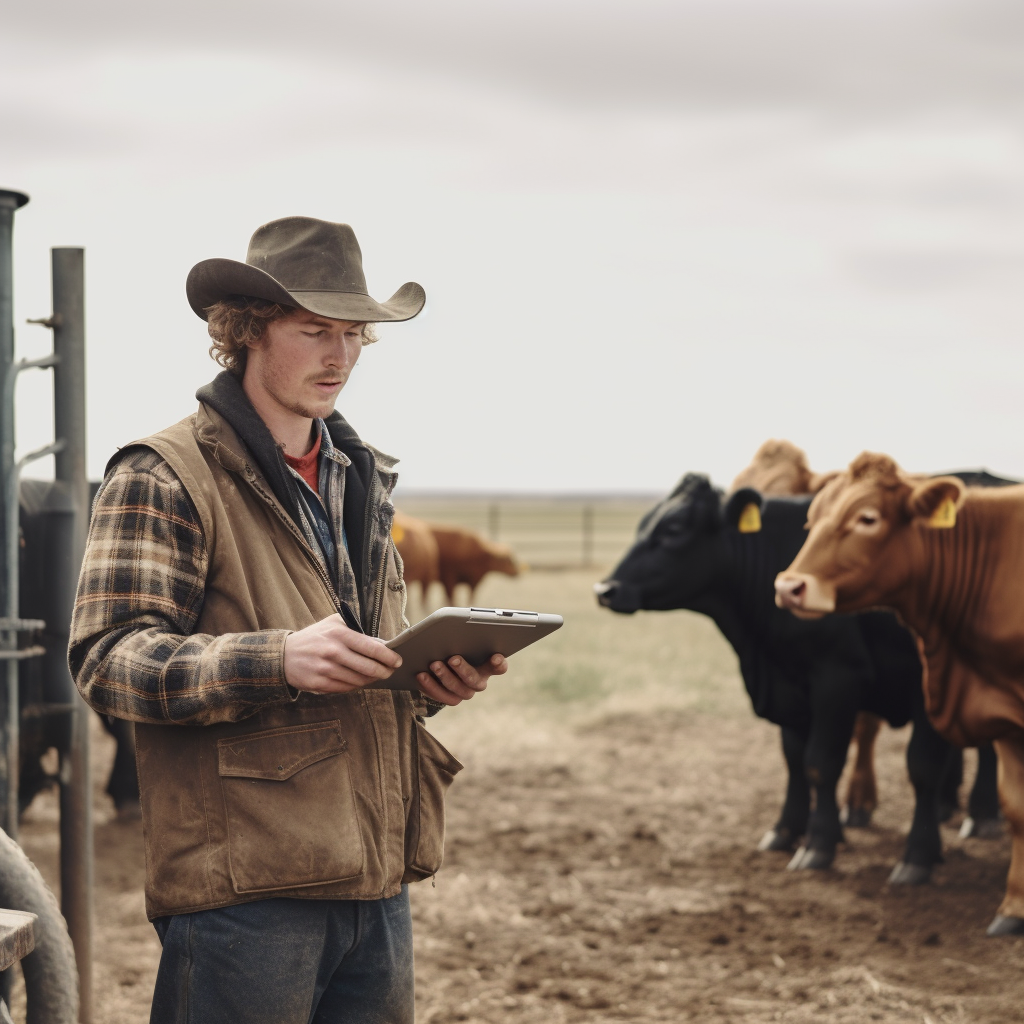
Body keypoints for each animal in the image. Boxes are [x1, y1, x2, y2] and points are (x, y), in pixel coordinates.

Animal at [598, 475, 991, 884]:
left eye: (673, 529)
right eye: (643, 524)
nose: (606, 590)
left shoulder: (838, 681)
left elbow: (837, 763)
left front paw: (836, 846)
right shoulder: (790, 685)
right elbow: (794, 760)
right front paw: (786, 831)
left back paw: (980, 817)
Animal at [774, 454, 1024, 937]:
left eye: (867, 518)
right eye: (812, 519)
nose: (789, 587)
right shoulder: (1004, 715)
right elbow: (1016, 808)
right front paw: (1013, 911)